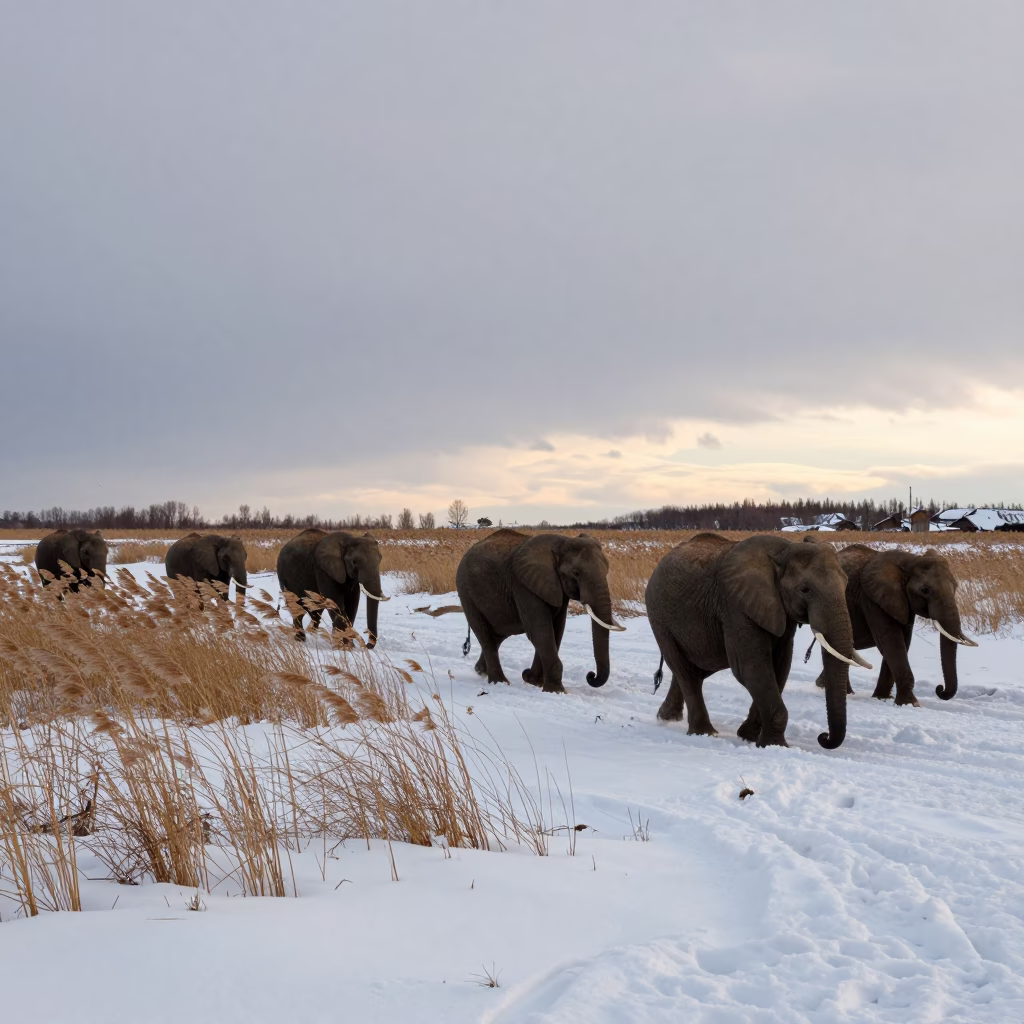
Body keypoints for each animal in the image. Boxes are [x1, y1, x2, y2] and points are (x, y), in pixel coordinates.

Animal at [455, 529, 624, 693]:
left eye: (607, 570)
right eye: (576, 573)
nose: (590, 675)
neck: (561, 542)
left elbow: (556, 629)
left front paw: (533, 681)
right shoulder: (523, 585)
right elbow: (540, 630)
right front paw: (555, 691)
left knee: (498, 635)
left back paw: (480, 671)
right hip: (466, 592)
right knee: (485, 635)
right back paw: (499, 682)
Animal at [645, 533, 871, 749]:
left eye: (846, 584)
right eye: (805, 589)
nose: (823, 737)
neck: (784, 551)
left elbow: (779, 667)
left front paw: (749, 736)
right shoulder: (735, 606)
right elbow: (751, 668)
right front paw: (773, 745)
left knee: (696, 669)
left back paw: (666, 718)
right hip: (659, 618)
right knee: (685, 671)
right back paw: (703, 733)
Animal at [815, 544, 977, 705]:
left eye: (956, 586)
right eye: (925, 590)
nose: (940, 689)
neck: (911, 560)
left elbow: (903, 641)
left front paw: (883, 698)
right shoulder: (872, 599)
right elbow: (891, 641)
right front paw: (910, 704)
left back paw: (828, 686)